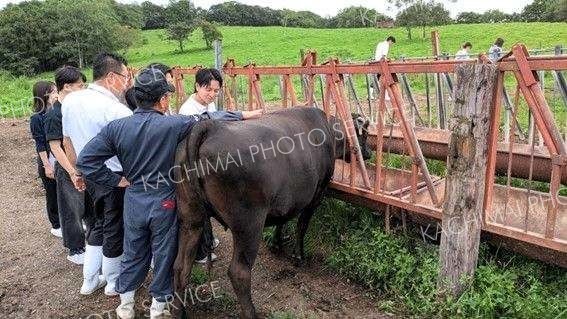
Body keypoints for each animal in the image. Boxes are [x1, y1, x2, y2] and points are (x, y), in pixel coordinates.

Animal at [173, 108, 372, 319]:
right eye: (365, 134)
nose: (369, 152)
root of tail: (210, 127)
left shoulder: (287, 199)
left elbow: (283, 219)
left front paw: (276, 245)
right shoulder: (316, 194)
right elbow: (301, 226)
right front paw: (299, 256)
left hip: (190, 217)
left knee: (180, 267)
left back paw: (179, 312)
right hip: (249, 224)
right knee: (239, 272)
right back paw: (251, 313)